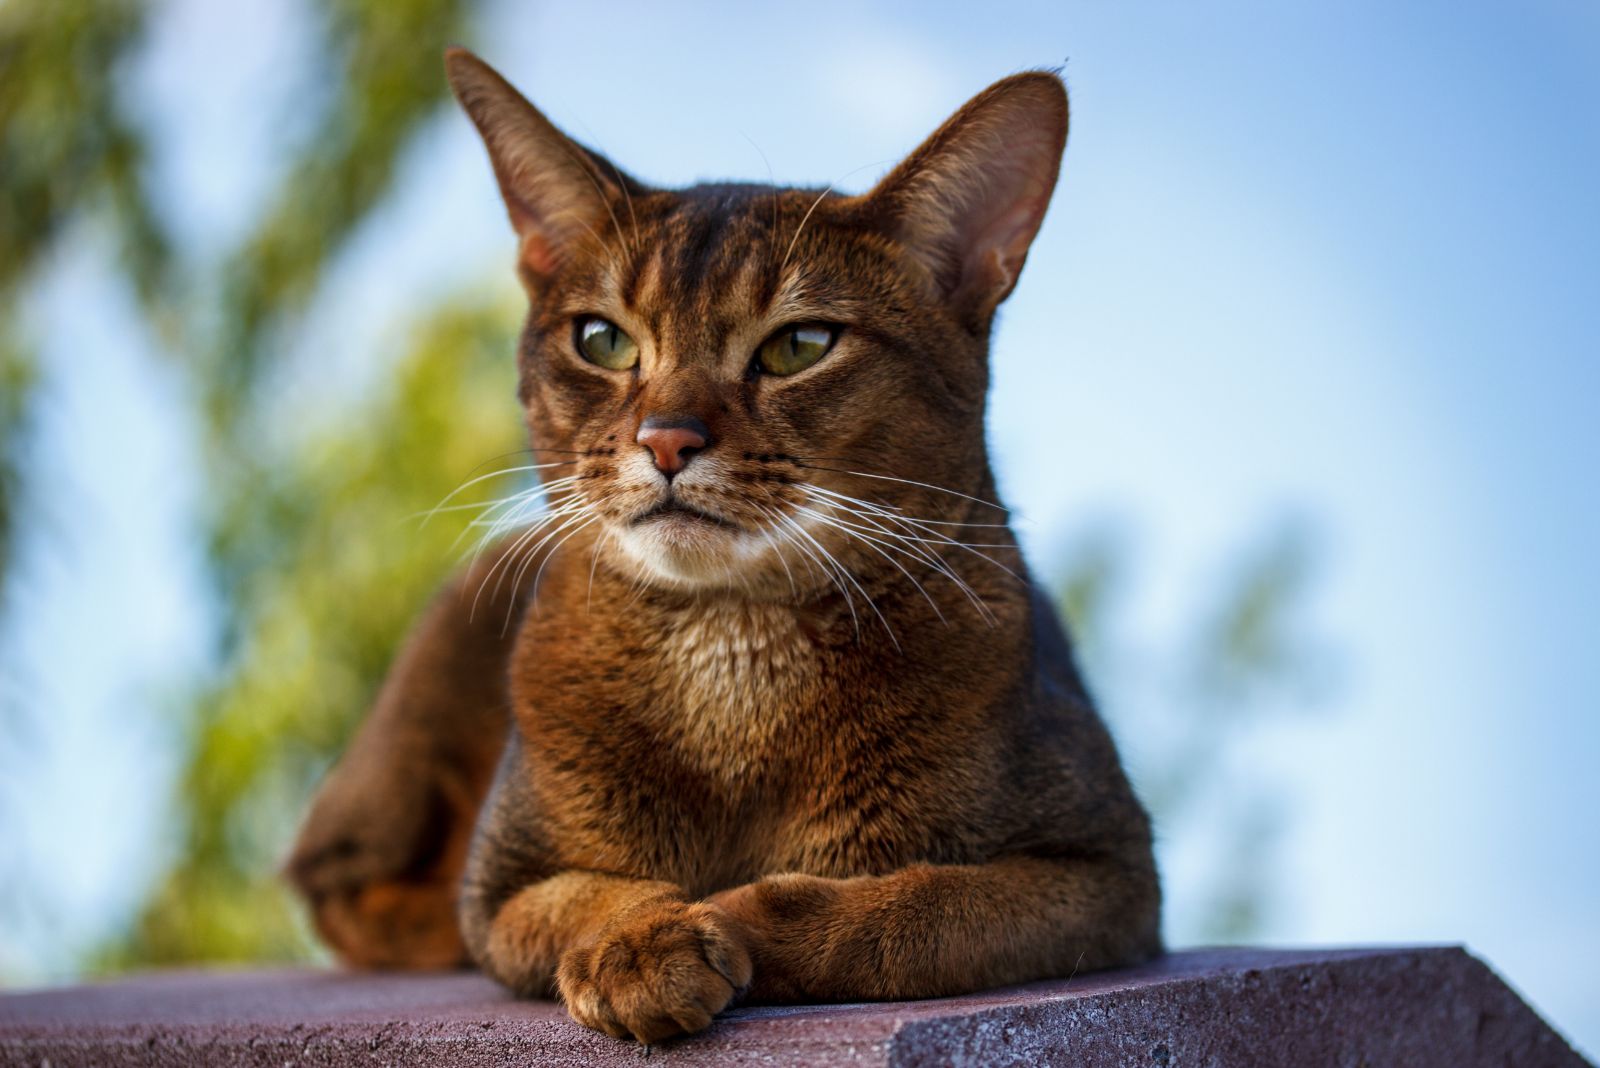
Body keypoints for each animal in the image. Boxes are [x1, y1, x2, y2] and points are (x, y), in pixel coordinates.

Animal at [288, 47, 1164, 1042]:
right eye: (602, 339)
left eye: (801, 344)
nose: (667, 440)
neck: (731, 658)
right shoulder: (501, 884)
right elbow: (583, 896)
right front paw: (641, 941)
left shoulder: (1111, 874)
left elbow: (920, 911)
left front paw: (739, 914)